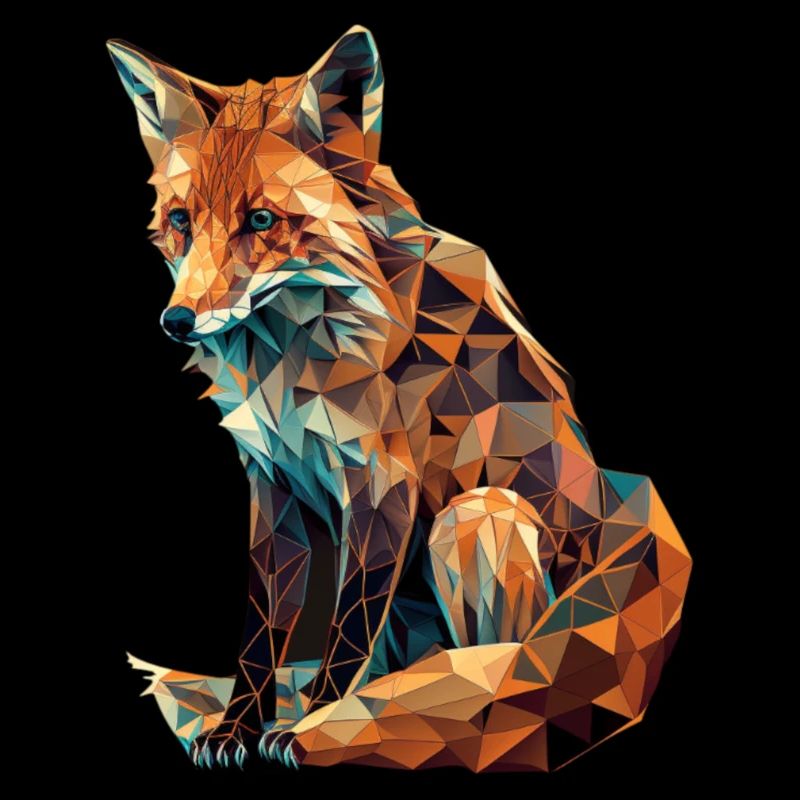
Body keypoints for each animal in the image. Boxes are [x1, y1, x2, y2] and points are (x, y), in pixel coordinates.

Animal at [108, 24, 692, 772]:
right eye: (182, 220)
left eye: (262, 219)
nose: (177, 321)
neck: (292, 361)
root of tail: (628, 504)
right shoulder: (272, 486)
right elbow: (259, 638)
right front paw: (236, 728)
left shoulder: (384, 486)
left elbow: (348, 628)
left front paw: (309, 723)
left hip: (479, 514)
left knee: (497, 670)